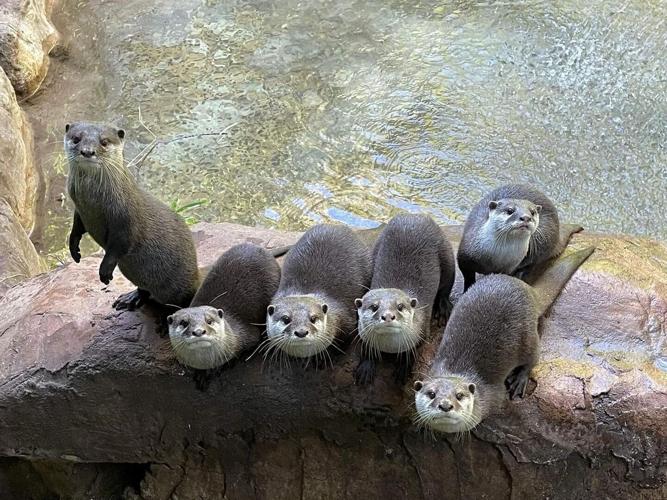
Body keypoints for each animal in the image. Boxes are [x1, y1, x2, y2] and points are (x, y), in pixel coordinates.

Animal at [64, 123, 199, 320]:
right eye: (76, 139)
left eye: (104, 142)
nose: (87, 151)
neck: (92, 203)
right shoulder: (80, 210)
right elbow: (76, 228)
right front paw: (74, 250)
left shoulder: (126, 219)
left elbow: (121, 243)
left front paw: (104, 271)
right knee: (145, 290)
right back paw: (131, 299)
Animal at [264, 224, 372, 366]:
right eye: (286, 319)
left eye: (313, 318)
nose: (301, 332)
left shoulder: (345, 320)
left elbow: (344, 343)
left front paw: (326, 358)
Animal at [354, 214, 455, 385]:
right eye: (374, 307)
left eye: (400, 306)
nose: (388, 316)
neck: (390, 347)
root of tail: (414, 215)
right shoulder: (362, 332)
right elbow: (367, 348)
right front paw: (366, 367)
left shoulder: (422, 331)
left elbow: (412, 352)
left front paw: (403, 369)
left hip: (446, 253)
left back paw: (443, 309)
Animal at [413, 246, 594, 435]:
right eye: (431, 394)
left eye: (459, 395)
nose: (445, 405)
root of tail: (528, 290)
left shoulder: (494, 398)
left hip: (528, 335)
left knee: (533, 357)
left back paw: (519, 379)